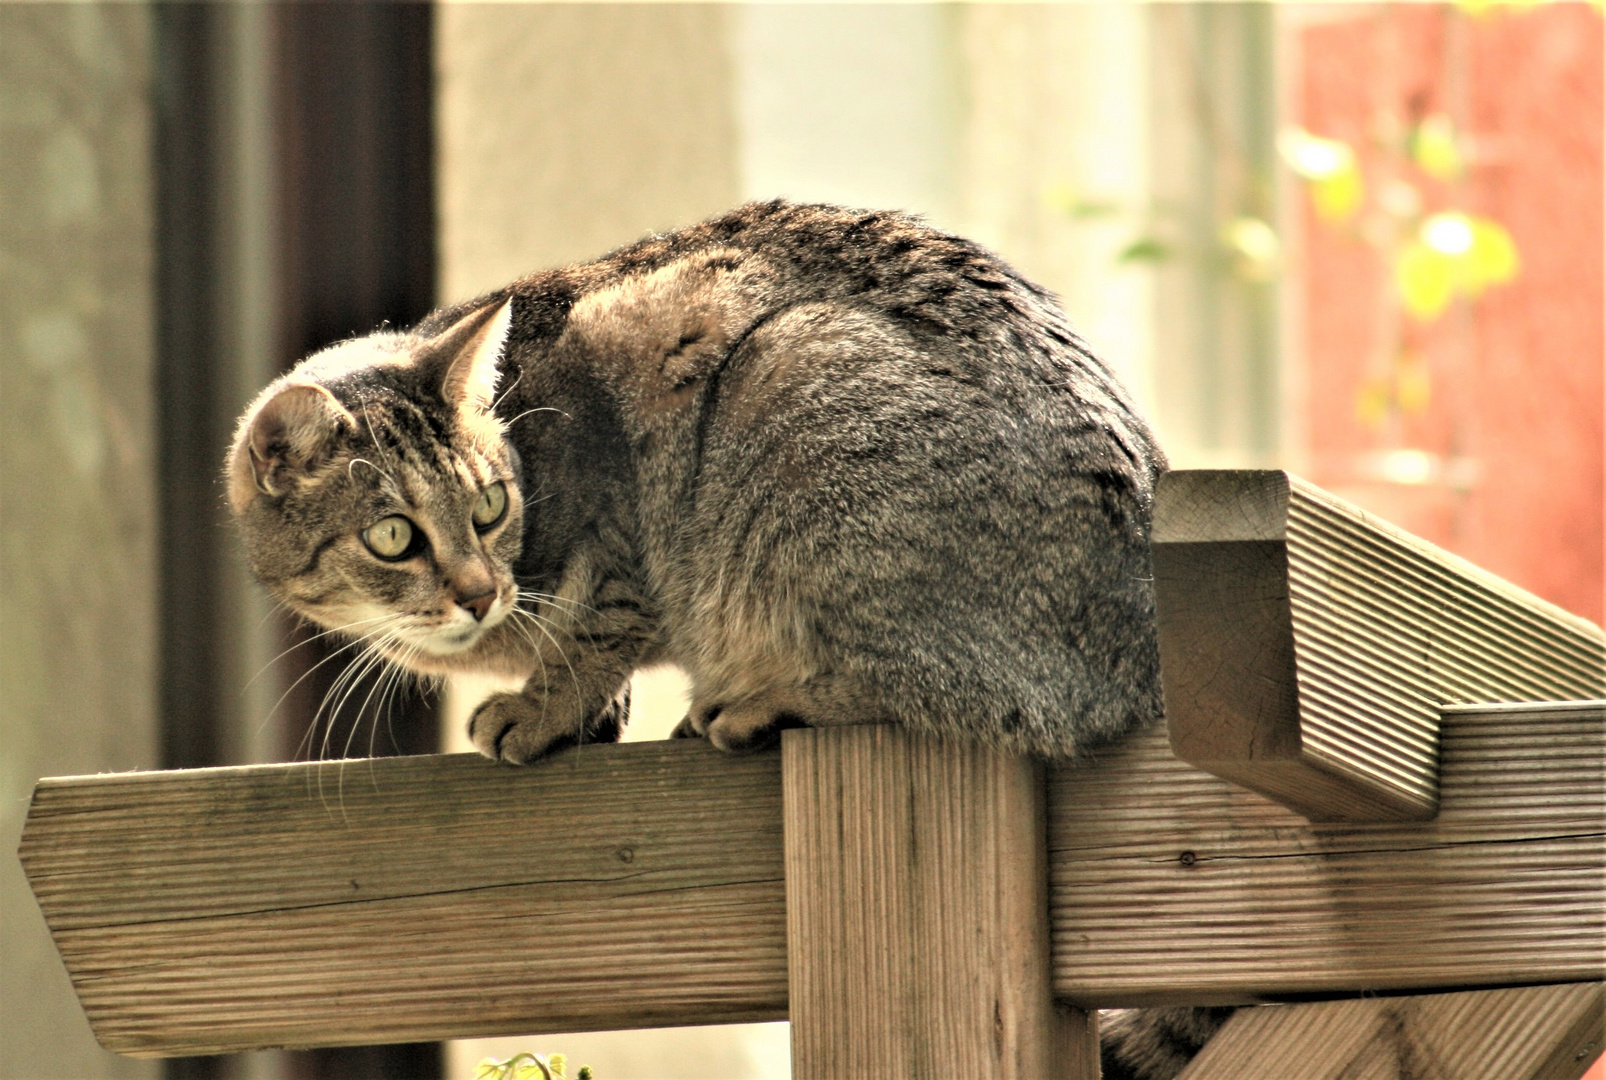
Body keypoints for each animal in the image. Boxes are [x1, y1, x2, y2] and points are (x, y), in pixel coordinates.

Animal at [229, 200, 1226, 1073]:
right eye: (394, 536)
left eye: (489, 507)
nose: (481, 593)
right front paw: (588, 713)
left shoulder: (614, 538)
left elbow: (594, 632)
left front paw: (544, 708)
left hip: (798, 395)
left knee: (952, 694)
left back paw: (750, 704)